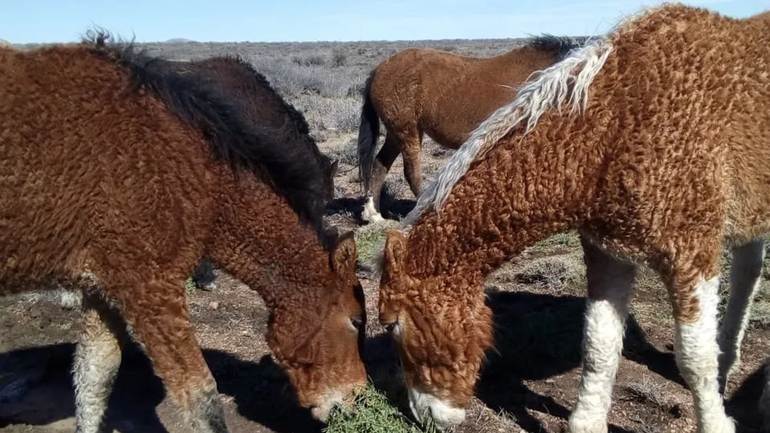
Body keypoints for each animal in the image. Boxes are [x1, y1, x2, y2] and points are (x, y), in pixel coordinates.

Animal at [0, 33, 366, 432]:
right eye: (356, 320)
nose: (358, 398)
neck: (197, 174)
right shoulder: (150, 291)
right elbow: (201, 398)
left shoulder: (104, 288)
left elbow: (94, 378)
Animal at [356, 35, 580, 221]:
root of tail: (378, 70)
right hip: (407, 132)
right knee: (411, 173)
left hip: (397, 134)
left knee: (379, 164)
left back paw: (374, 215)